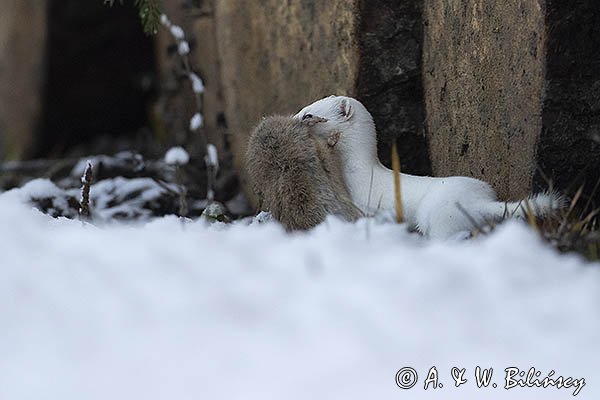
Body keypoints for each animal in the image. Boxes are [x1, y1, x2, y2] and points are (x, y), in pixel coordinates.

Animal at [296, 95, 564, 239]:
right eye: (304, 108)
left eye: (308, 114)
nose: (292, 118)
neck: (357, 173)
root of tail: (478, 202)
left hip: (437, 217)